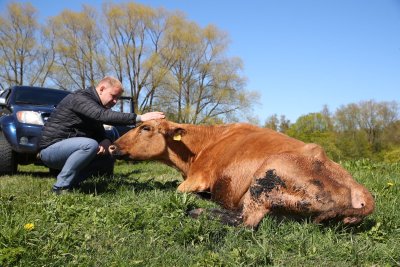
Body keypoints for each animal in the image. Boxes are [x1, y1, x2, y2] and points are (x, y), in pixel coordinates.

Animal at [109, 120, 376, 227]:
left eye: (145, 128)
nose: (111, 146)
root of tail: (358, 189)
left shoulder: (197, 178)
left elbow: (176, 191)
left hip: (266, 178)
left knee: (246, 222)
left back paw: (199, 210)